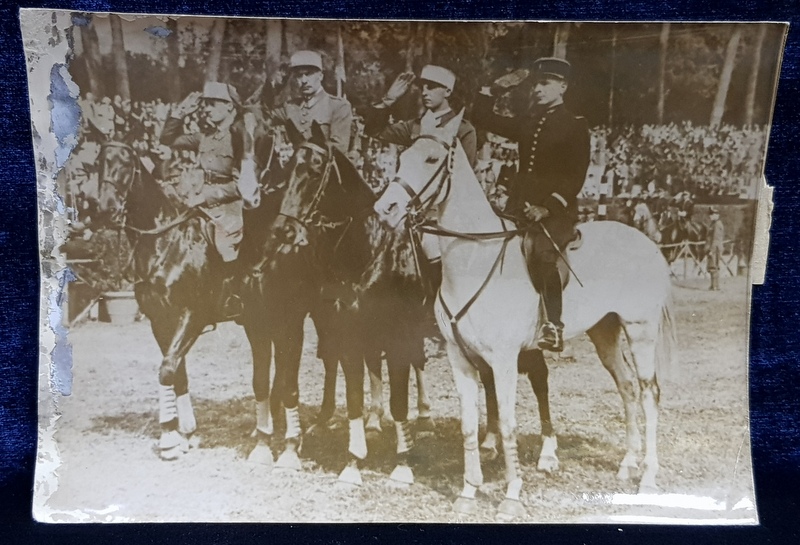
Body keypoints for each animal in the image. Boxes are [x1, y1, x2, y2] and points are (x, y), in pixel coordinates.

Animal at [376, 110, 676, 520]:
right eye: (401, 157)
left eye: (431, 159)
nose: (384, 210)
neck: (473, 258)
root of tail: (647, 242)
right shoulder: (460, 358)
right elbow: (469, 425)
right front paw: (468, 492)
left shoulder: (503, 360)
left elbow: (507, 424)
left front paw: (511, 496)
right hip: (605, 332)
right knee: (627, 387)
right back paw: (627, 464)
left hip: (640, 330)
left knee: (649, 393)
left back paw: (647, 477)